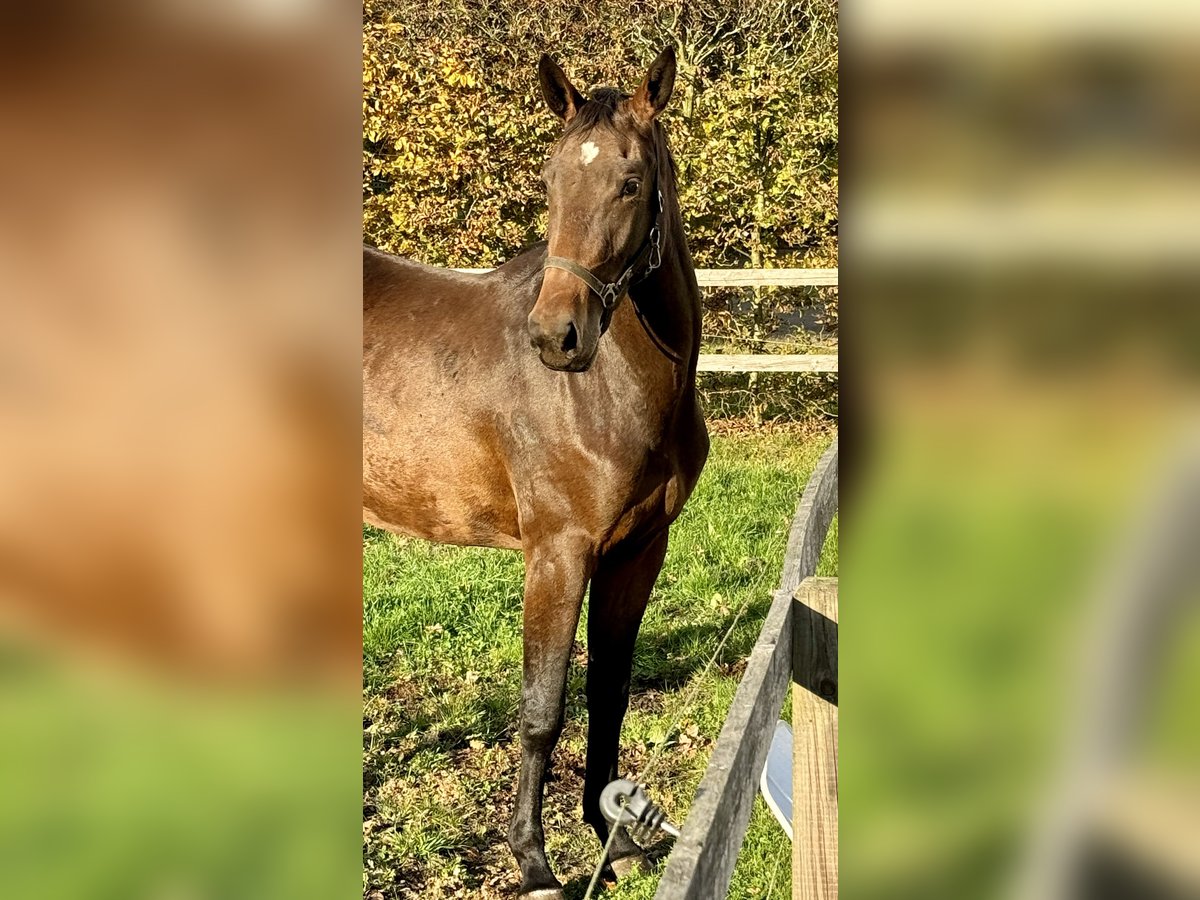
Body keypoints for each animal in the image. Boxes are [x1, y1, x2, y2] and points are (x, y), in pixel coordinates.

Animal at [360, 47, 705, 897]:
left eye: (630, 182)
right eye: (549, 181)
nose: (557, 336)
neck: (609, 390)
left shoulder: (638, 552)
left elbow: (609, 691)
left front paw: (613, 837)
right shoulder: (558, 552)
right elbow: (543, 711)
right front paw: (536, 861)